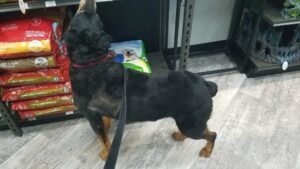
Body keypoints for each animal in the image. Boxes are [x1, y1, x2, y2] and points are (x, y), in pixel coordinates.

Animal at [63, 0, 218, 161]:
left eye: (77, 15)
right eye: (98, 18)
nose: (89, 2)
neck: (93, 62)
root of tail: (205, 84)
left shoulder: (92, 117)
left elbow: (103, 139)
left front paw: (106, 152)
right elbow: (105, 125)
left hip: (191, 124)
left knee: (212, 135)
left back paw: (207, 150)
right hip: (189, 121)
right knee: (205, 130)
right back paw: (180, 136)